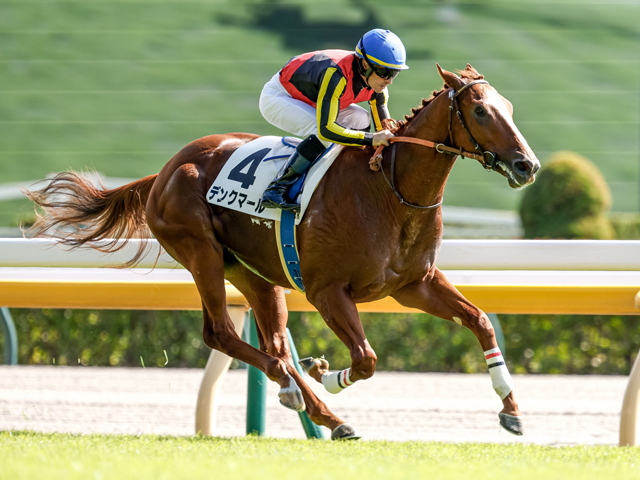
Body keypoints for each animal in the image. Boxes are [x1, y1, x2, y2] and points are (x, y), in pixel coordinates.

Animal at [26, 62, 540, 438]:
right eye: (480, 111)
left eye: (510, 107)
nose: (527, 165)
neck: (391, 190)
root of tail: (167, 169)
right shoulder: (328, 291)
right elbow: (366, 359)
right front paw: (326, 372)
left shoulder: (414, 285)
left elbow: (479, 321)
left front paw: (512, 409)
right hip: (201, 253)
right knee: (222, 334)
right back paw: (309, 396)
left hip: (254, 273)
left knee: (271, 342)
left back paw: (313, 404)